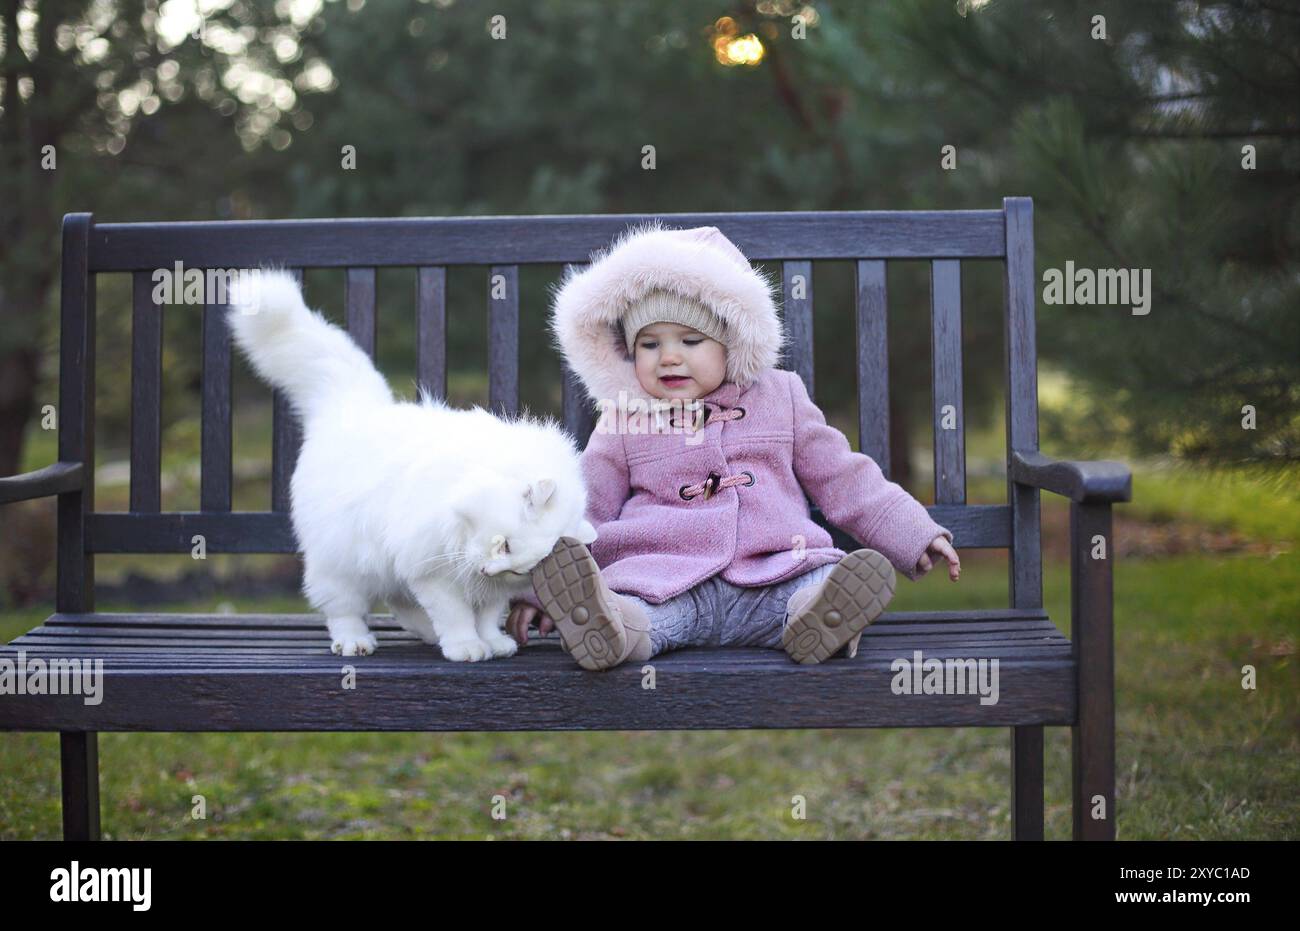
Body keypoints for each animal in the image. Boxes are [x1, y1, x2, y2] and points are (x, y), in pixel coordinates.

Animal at [226, 269, 595, 663]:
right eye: (505, 545)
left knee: (398, 603)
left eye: (520, 570)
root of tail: (352, 407)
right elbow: (457, 615)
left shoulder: (475, 584)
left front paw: (493, 643)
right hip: (343, 565)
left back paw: (427, 634)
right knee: (344, 611)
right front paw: (466, 648)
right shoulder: (434, 571)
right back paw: (356, 643)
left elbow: (486, 615)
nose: (486, 568)